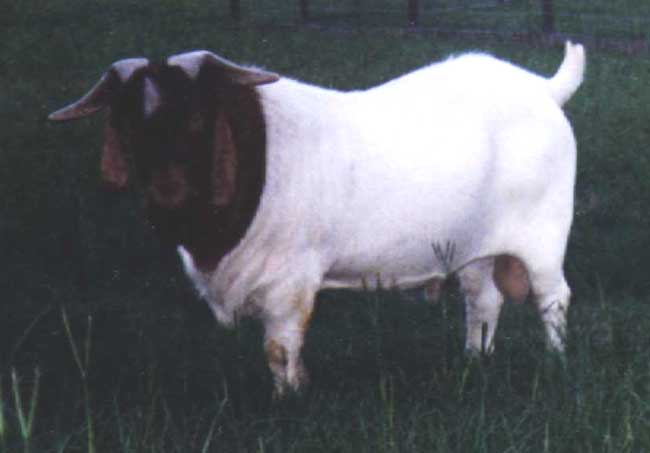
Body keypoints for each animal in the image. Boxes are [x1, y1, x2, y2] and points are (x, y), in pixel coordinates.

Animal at [49, 42, 585, 397]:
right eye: (128, 123)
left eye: (198, 117)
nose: (167, 197)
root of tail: (544, 89)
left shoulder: (289, 280)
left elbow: (280, 347)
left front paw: (289, 398)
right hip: (475, 251)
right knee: (483, 302)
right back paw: (475, 362)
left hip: (543, 239)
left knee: (552, 298)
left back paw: (556, 363)